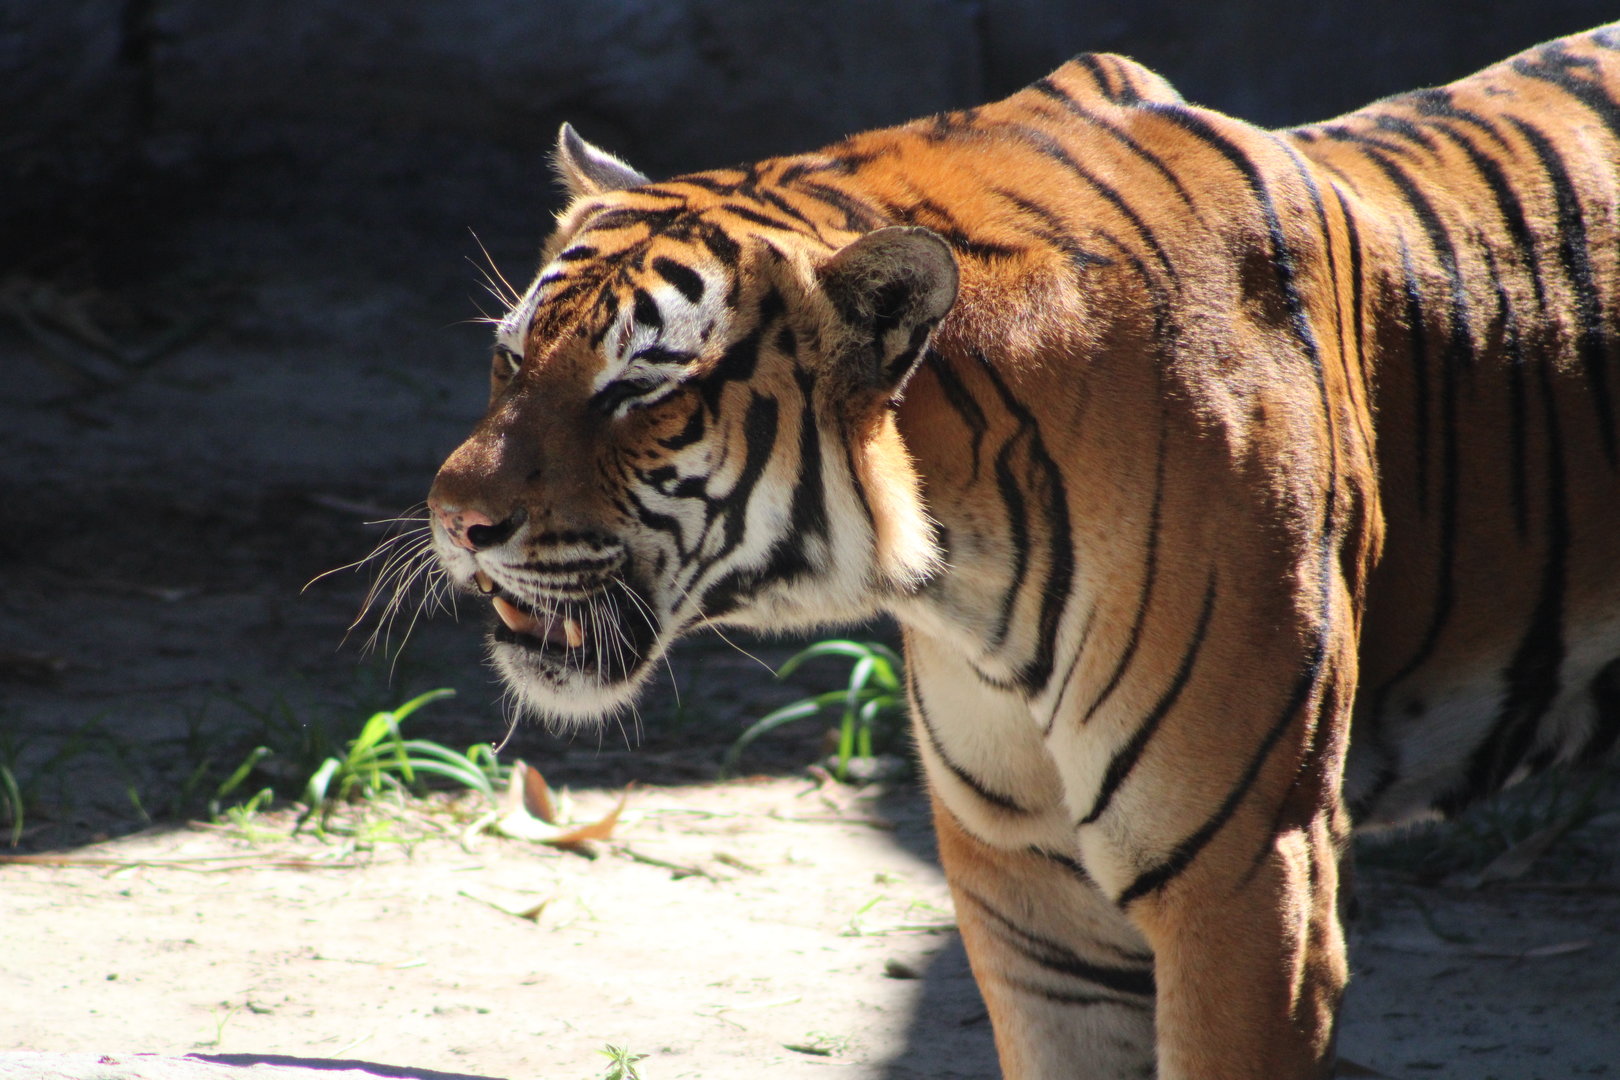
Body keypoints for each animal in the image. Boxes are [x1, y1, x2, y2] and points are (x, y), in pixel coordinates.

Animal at [424, 23, 1620, 1080]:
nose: (452, 519)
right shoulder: (1030, 896)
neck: (969, 573)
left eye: (639, 389)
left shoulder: (1248, 879)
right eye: (511, 358)